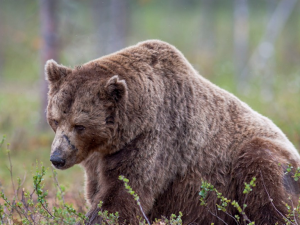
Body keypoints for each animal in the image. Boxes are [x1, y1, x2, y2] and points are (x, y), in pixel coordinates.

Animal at [44, 39, 300, 224]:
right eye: (55, 120)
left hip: (261, 162)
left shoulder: (153, 140)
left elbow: (123, 194)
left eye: (80, 125)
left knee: (268, 189)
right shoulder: (97, 158)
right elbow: (98, 188)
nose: (57, 158)